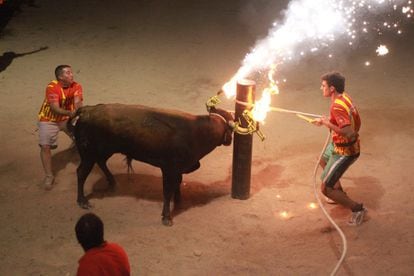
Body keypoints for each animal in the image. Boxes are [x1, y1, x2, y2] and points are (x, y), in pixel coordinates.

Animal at [69, 103, 234, 226]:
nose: (230, 140)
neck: (196, 131)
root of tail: (87, 110)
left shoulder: (178, 169)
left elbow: (177, 183)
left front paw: (178, 200)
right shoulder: (169, 168)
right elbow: (167, 190)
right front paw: (167, 217)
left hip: (105, 150)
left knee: (101, 162)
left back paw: (112, 182)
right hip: (88, 154)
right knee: (81, 172)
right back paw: (83, 201)